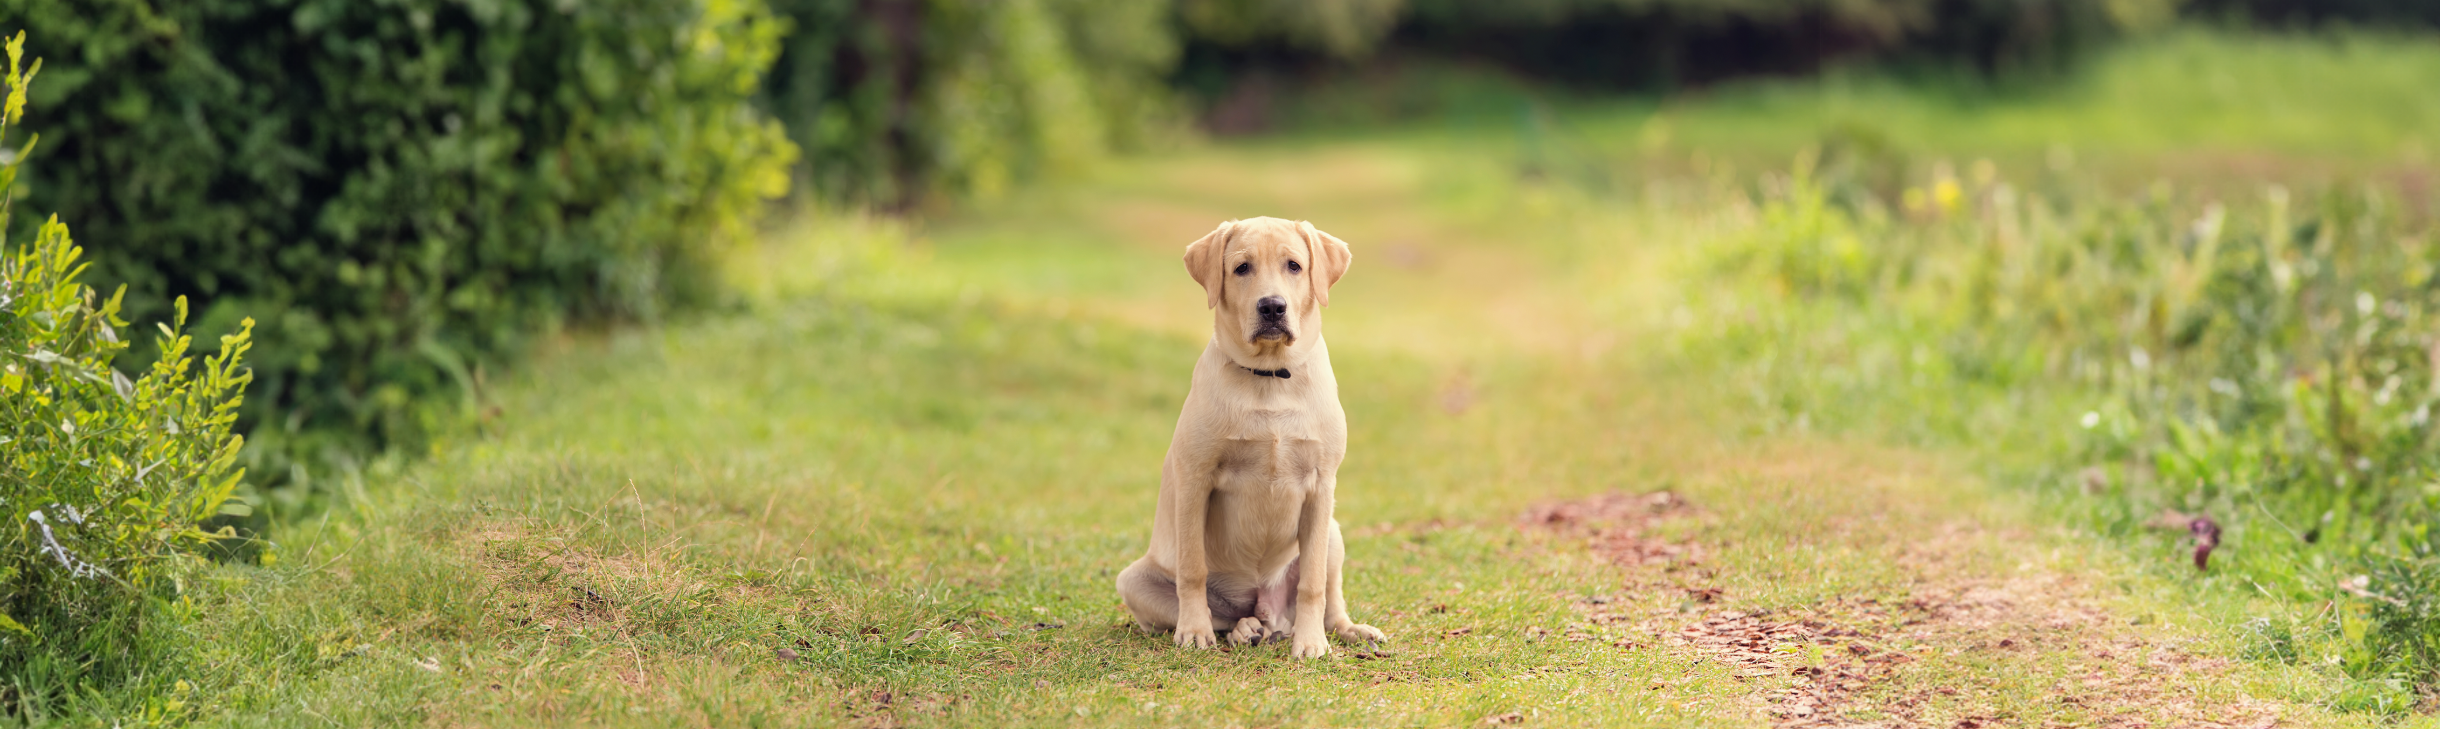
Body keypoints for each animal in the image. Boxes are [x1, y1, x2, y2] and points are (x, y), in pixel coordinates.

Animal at [1117, 216, 1385, 663]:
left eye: (1294, 266)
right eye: (1242, 268)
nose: (1272, 306)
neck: (1270, 377)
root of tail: (1266, 606)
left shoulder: (1321, 486)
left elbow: (1313, 583)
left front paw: (1311, 642)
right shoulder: (1195, 480)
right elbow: (1192, 570)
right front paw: (1194, 631)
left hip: (1332, 532)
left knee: (1330, 600)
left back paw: (1345, 630)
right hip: (1134, 580)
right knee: (1224, 614)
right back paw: (1244, 630)